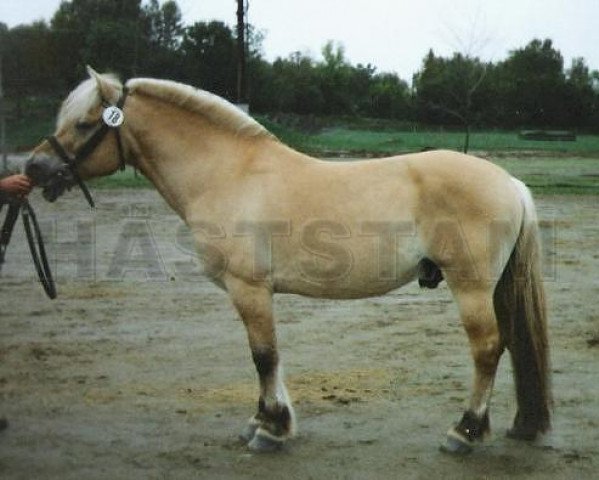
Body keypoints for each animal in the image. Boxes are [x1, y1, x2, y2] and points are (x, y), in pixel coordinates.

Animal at [25, 67, 552, 454]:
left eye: (84, 123)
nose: (33, 168)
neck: (228, 172)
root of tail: (510, 182)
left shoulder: (249, 287)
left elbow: (263, 355)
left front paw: (270, 430)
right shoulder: (255, 292)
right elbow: (269, 357)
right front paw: (264, 421)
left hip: (471, 288)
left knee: (487, 350)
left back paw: (463, 432)